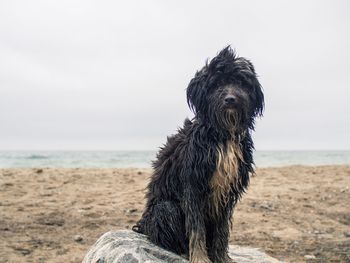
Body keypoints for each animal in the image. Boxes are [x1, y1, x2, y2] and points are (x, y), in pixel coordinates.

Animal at [133, 47, 264, 263]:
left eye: (240, 82)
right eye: (216, 83)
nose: (230, 99)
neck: (222, 134)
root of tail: (143, 225)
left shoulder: (227, 190)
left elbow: (222, 231)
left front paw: (221, 257)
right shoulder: (193, 185)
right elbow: (196, 228)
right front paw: (201, 257)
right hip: (165, 209)